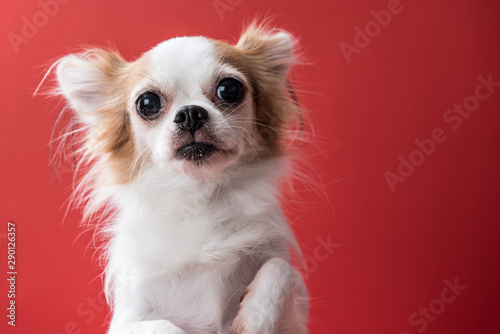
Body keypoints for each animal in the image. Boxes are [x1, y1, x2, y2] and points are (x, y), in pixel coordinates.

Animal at [53, 21, 308, 334]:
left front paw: (255, 320)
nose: (190, 113)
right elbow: (164, 326)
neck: (200, 197)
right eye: (147, 102)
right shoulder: (129, 320)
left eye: (229, 89)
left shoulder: (291, 316)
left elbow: (281, 268)